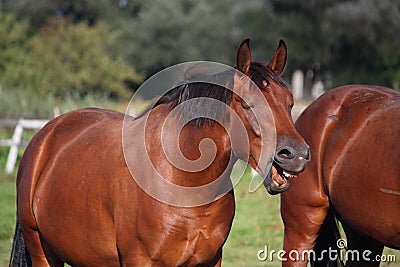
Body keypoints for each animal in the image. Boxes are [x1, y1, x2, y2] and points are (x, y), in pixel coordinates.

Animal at [9, 39, 310, 267]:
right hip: (43, 252)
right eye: (248, 105)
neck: (184, 184)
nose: (295, 154)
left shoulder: (210, 261)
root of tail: (45, 137)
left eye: (290, 103)